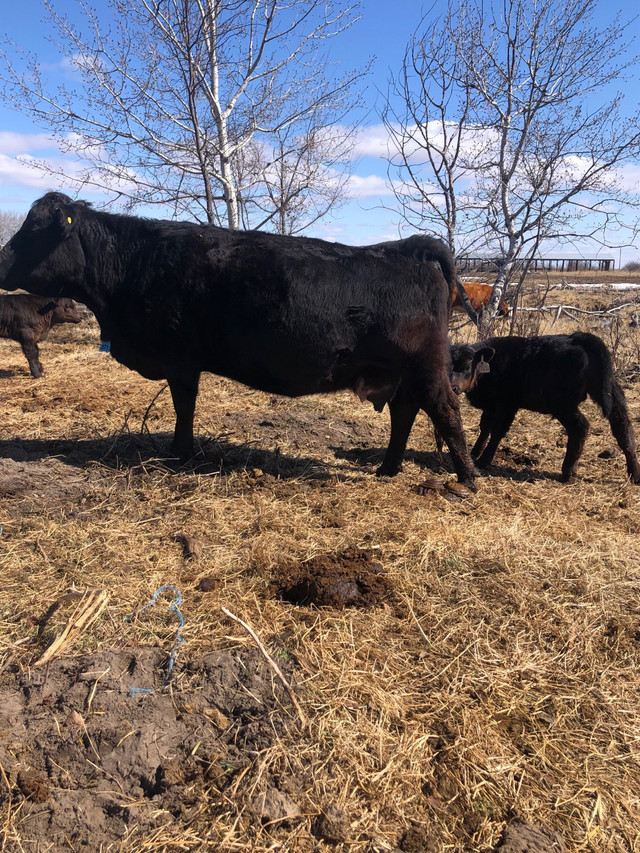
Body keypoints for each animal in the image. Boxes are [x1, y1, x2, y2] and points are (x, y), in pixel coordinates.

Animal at [0, 192, 476, 488]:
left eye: (36, 230)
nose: (1, 260)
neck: (136, 264)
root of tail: (405, 247)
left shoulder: (180, 357)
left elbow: (184, 405)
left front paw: (180, 452)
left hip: (426, 367)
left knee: (445, 410)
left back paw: (468, 477)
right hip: (398, 372)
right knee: (405, 413)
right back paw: (388, 470)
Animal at [449, 332, 640, 483]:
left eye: (468, 366)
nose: (453, 388)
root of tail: (578, 337)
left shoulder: (507, 404)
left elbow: (497, 431)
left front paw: (484, 460)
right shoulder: (490, 406)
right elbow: (485, 428)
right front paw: (474, 453)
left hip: (562, 404)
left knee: (581, 427)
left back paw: (567, 472)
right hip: (611, 394)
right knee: (623, 428)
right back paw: (634, 474)